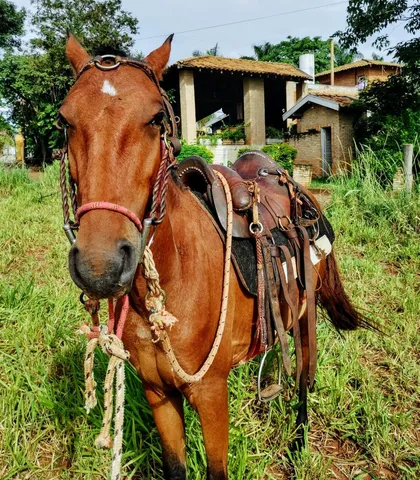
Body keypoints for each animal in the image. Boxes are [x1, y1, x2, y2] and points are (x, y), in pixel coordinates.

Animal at [60, 31, 370, 478]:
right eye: (65, 120)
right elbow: (175, 466)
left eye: (156, 119)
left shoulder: (210, 395)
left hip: (306, 314)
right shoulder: (158, 393)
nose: (99, 267)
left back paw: (297, 444)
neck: (175, 277)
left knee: (304, 378)